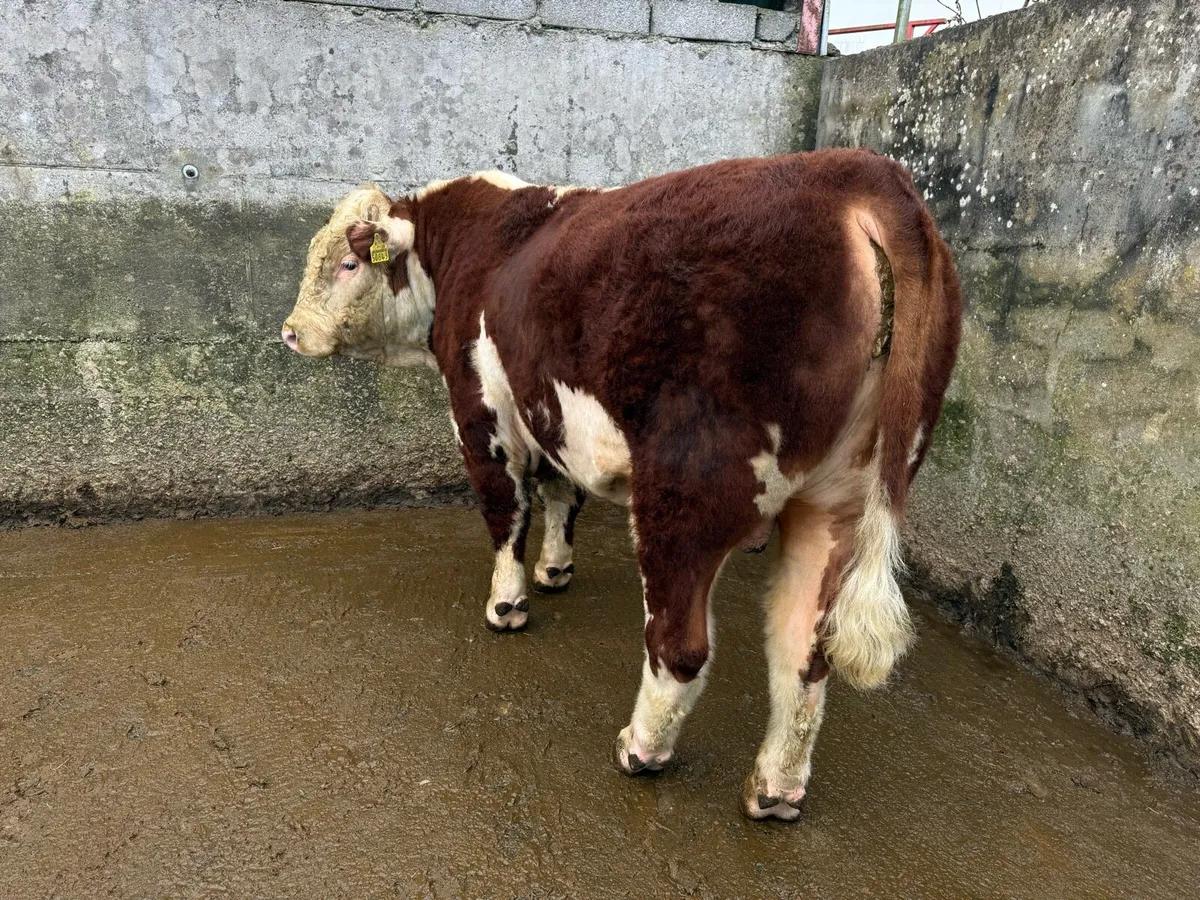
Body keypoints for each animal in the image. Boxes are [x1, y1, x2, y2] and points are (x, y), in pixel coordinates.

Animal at [281, 150, 962, 821]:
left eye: (347, 263)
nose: (290, 332)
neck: (474, 243)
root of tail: (856, 171)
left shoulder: (483, 414)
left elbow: (507, 512)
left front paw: (507, 603)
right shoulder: (546, 410)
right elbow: (561, 493)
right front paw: (555, 568)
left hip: (686, 491)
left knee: (680, 643)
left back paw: (641, 749)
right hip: (838, 501)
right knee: (805, 650)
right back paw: (773, 790)